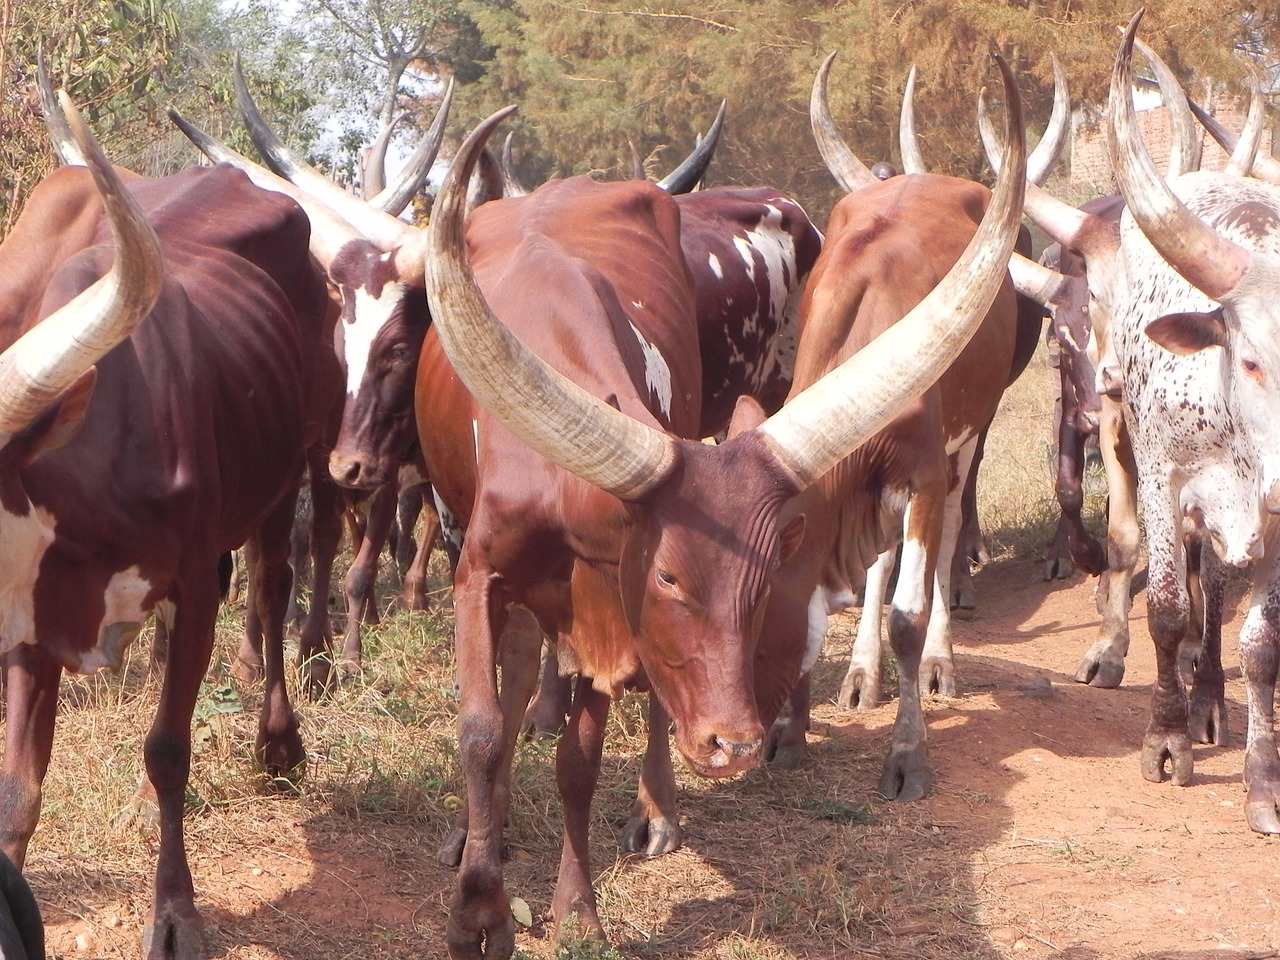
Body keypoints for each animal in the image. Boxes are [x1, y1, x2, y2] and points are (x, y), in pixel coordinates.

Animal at [0, 92, 335, 960]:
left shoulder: (189, 592)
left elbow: (167, 750)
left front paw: (176, 914)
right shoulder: (28, 613)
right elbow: (19, 781)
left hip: (294, 463)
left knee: (273, 585)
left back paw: (279, 744)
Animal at [414, 56, 1024, 957]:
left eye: (767, 581)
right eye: (668, 577)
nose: (734, 742)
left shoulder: (606, 602)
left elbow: (578, 761)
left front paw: (577, 908)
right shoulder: (482, 573)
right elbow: (484, 732)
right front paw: (477, 912)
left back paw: (660, 812)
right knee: (518, 677)